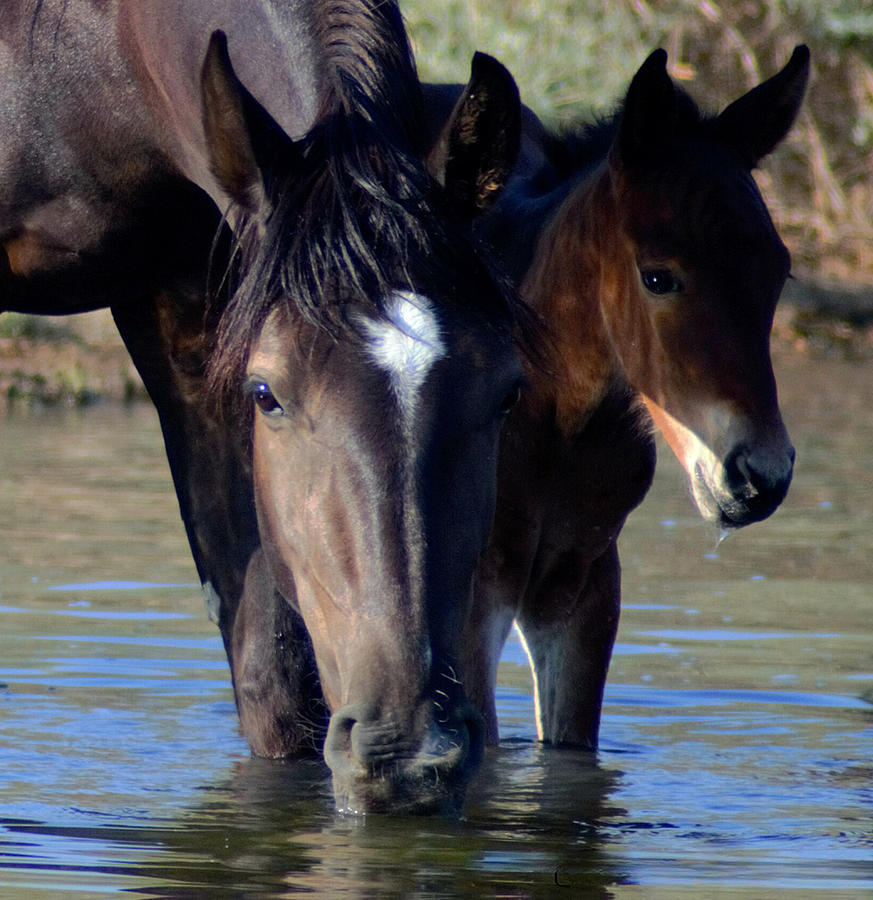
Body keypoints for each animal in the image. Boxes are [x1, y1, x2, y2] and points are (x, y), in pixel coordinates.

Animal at [426, 47, 808, 752]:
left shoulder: (583, 589)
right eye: (657, 277)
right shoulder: (470, 594)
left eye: (779, 272)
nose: (759, 476)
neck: (551, 421)